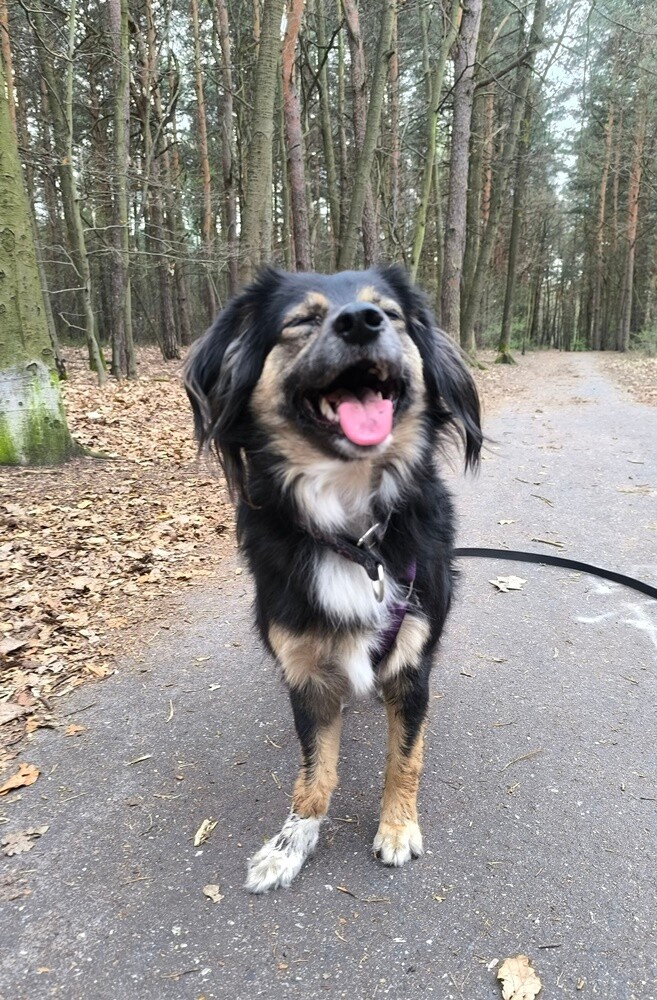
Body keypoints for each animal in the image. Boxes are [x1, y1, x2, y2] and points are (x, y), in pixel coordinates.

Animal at [184, 266, 481, 893]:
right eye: (302, 320)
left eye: (389, 314)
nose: (361, 323)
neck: (354, 535)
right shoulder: (306, 675)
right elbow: (314, 771)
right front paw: (291, 844)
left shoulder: (412, 665)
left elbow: (405, 758)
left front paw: (397, 827)